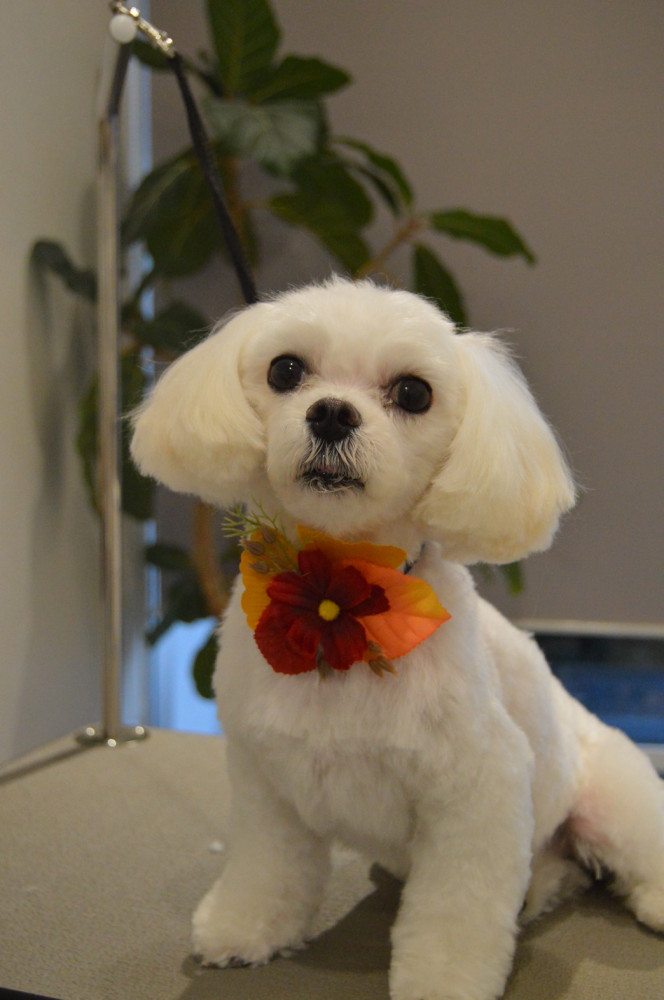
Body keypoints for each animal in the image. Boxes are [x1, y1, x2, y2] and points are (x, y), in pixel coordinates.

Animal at [131, 280, 664, 1000]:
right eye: (285, 371)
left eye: (414, 393)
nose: (331, 414)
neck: (337, 596)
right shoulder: (267, 783)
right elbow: (267, 868)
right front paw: (246, 928)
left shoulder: (479, 792)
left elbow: (456, 909)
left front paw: (444, 977)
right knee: (561, 872)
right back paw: (544, 887)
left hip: (614, 803)